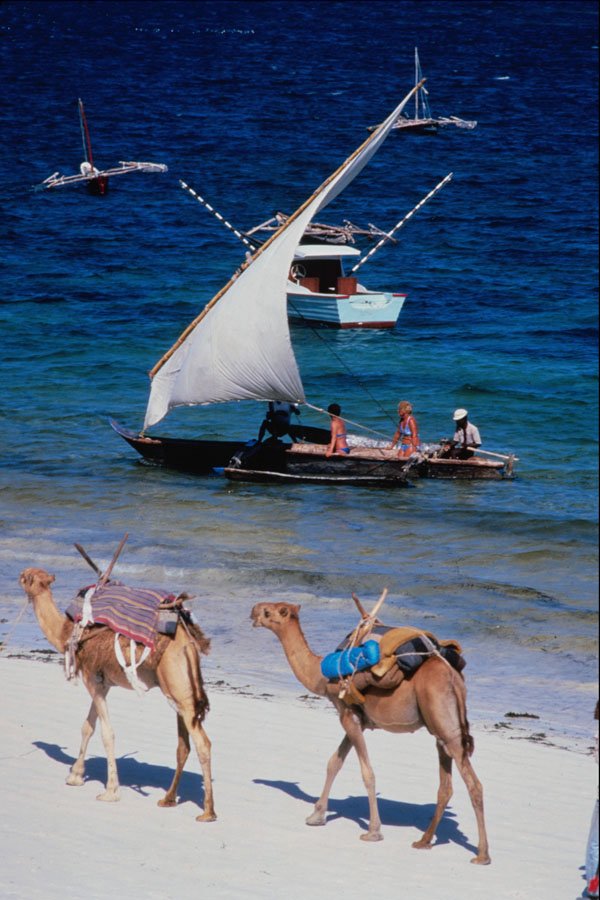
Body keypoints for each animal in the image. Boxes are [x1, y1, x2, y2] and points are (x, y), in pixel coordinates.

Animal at [19, 567, 216, 821]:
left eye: (28, 577)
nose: (20, 575)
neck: (66, 633)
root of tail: (189, 643)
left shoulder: (91, 679)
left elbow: (107, 733)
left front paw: (110, 791)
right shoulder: (102, 684)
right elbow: (88, 726)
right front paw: (75, 776)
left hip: (178, 687)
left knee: (202, 743)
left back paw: (208, 812)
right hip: (179, 690)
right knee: (184, 745)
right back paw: (168, 799)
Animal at [251, 601, 490, 864]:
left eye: (268, 611)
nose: (252, 612)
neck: (321, 677)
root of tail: (453, 677)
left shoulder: (348, 716)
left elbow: (367, 772)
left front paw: (373, 831)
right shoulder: (357, 718)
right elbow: (334, 762)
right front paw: (316, 816)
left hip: (445, 724)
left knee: (473, 783)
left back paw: (482, 854)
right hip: (439, 728)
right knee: (446, 786)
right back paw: (424, 841)